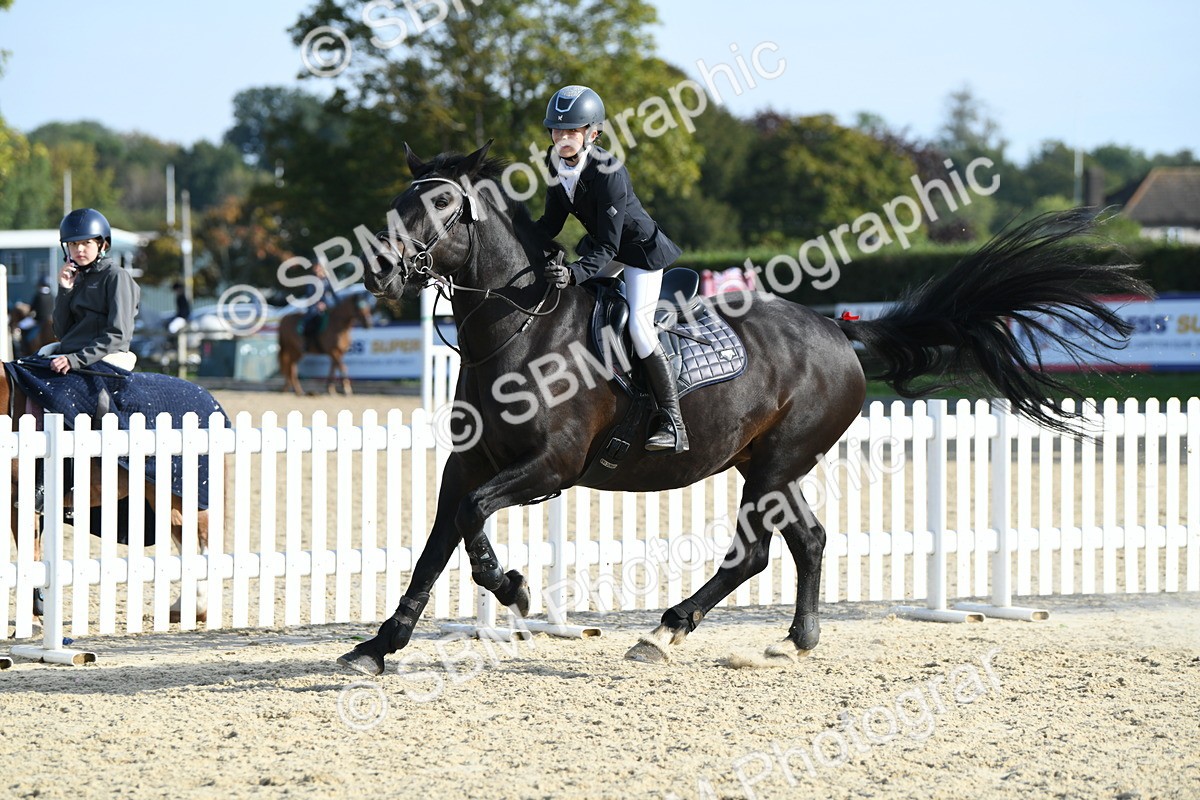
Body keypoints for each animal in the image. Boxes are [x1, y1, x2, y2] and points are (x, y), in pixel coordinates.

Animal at [337, 141, 1148, 677]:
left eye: (443, 203)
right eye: (401, 200)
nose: (377, 268)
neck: (520, 326)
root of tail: (840, 332)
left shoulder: (552, 466)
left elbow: (474, 521)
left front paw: (513, 587)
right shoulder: (468, 461)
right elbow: (439, 540)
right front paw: (381, 644)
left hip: (776, 461)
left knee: (756, 550)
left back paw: (666, 630)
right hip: (768, 462)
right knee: (808, 540)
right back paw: (794, 638)